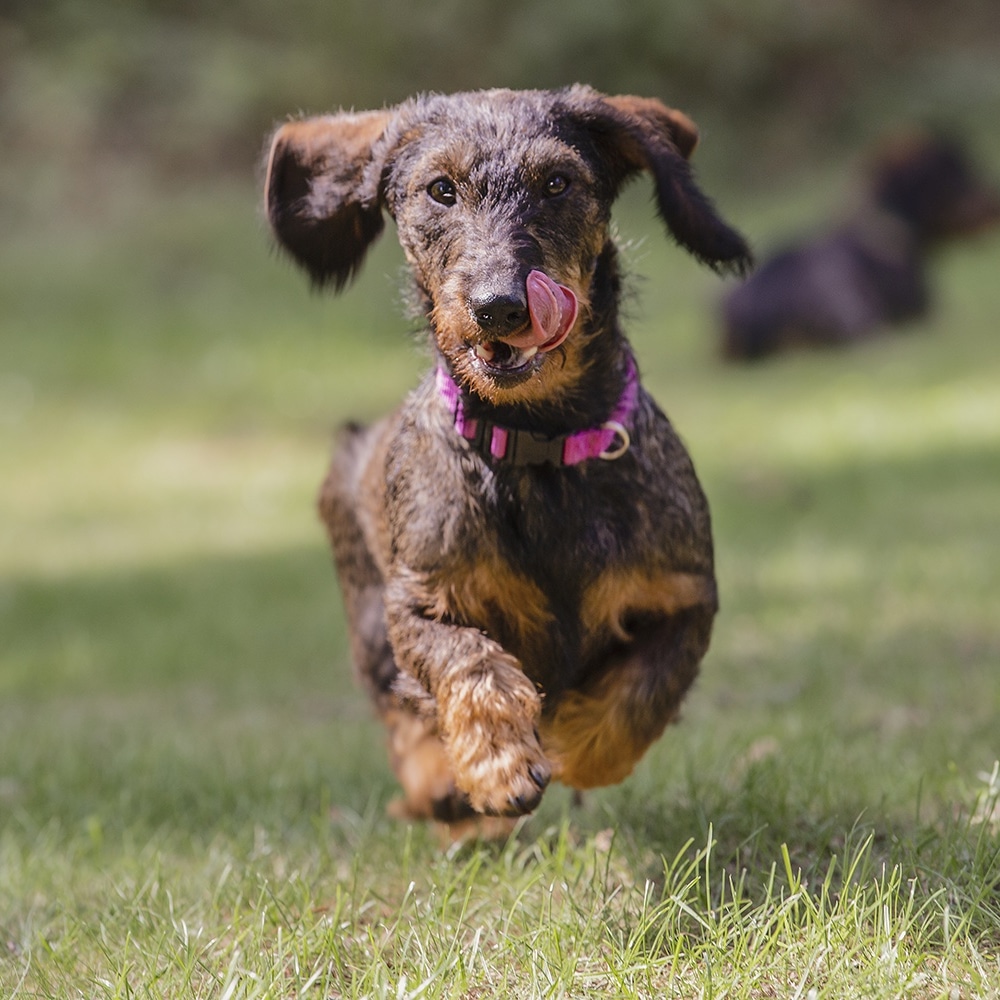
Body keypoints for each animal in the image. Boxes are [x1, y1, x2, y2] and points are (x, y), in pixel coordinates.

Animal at [266, 84, 752, 836]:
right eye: (440, 190)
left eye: (557, 183)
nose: (499, 306)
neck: (538, 446)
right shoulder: (417, 603)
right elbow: (468, 661)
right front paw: (498, 764)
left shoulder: (684, 597)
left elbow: (640, 694)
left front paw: (573, 742)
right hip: (369, 622)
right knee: (401, 716)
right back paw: (441, 786)